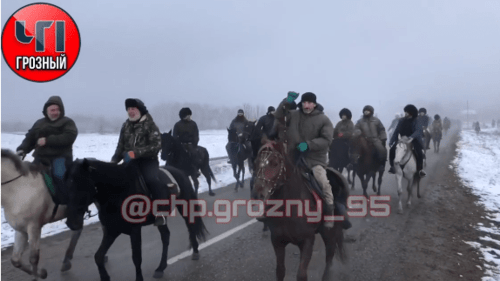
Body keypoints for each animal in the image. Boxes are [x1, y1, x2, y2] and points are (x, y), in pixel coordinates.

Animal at [0, 148, 83, 278]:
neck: (17, 189)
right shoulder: (20, 230)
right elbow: (16, 260)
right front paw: (42, 273)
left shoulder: (34, 227)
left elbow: (34, 258)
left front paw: (38, 275)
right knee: (77, 230)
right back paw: (67, 261)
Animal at [65, 158, 209, 280]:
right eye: (67, 185)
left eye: (82, 184)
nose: (71, 222)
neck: (118, 192)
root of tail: (180, 172)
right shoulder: (112, 230)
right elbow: (98, 256)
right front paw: (105, 277)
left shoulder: (134, 230)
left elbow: (136, 258)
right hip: (162, 219)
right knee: (166, 236)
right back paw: (161, 268)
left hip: (184, 207)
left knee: (190, 226)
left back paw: (195, 251)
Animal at [252, 140, 346, 280]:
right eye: (255, 162)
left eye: (275, 163)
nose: (256, 194)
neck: (289, 207)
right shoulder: (277, 241)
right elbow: (280, 271)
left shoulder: (307, 241)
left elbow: (301, 274)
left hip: (329, 232)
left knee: (329, 257)